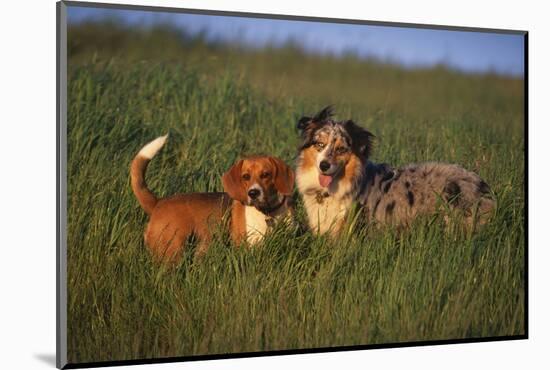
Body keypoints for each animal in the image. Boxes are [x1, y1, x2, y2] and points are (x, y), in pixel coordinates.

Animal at [131, 134, 296, 262]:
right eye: (245, 177)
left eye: (266, 174)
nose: (253, 193)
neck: (269, 212)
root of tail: (158, 202)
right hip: (171, 251)